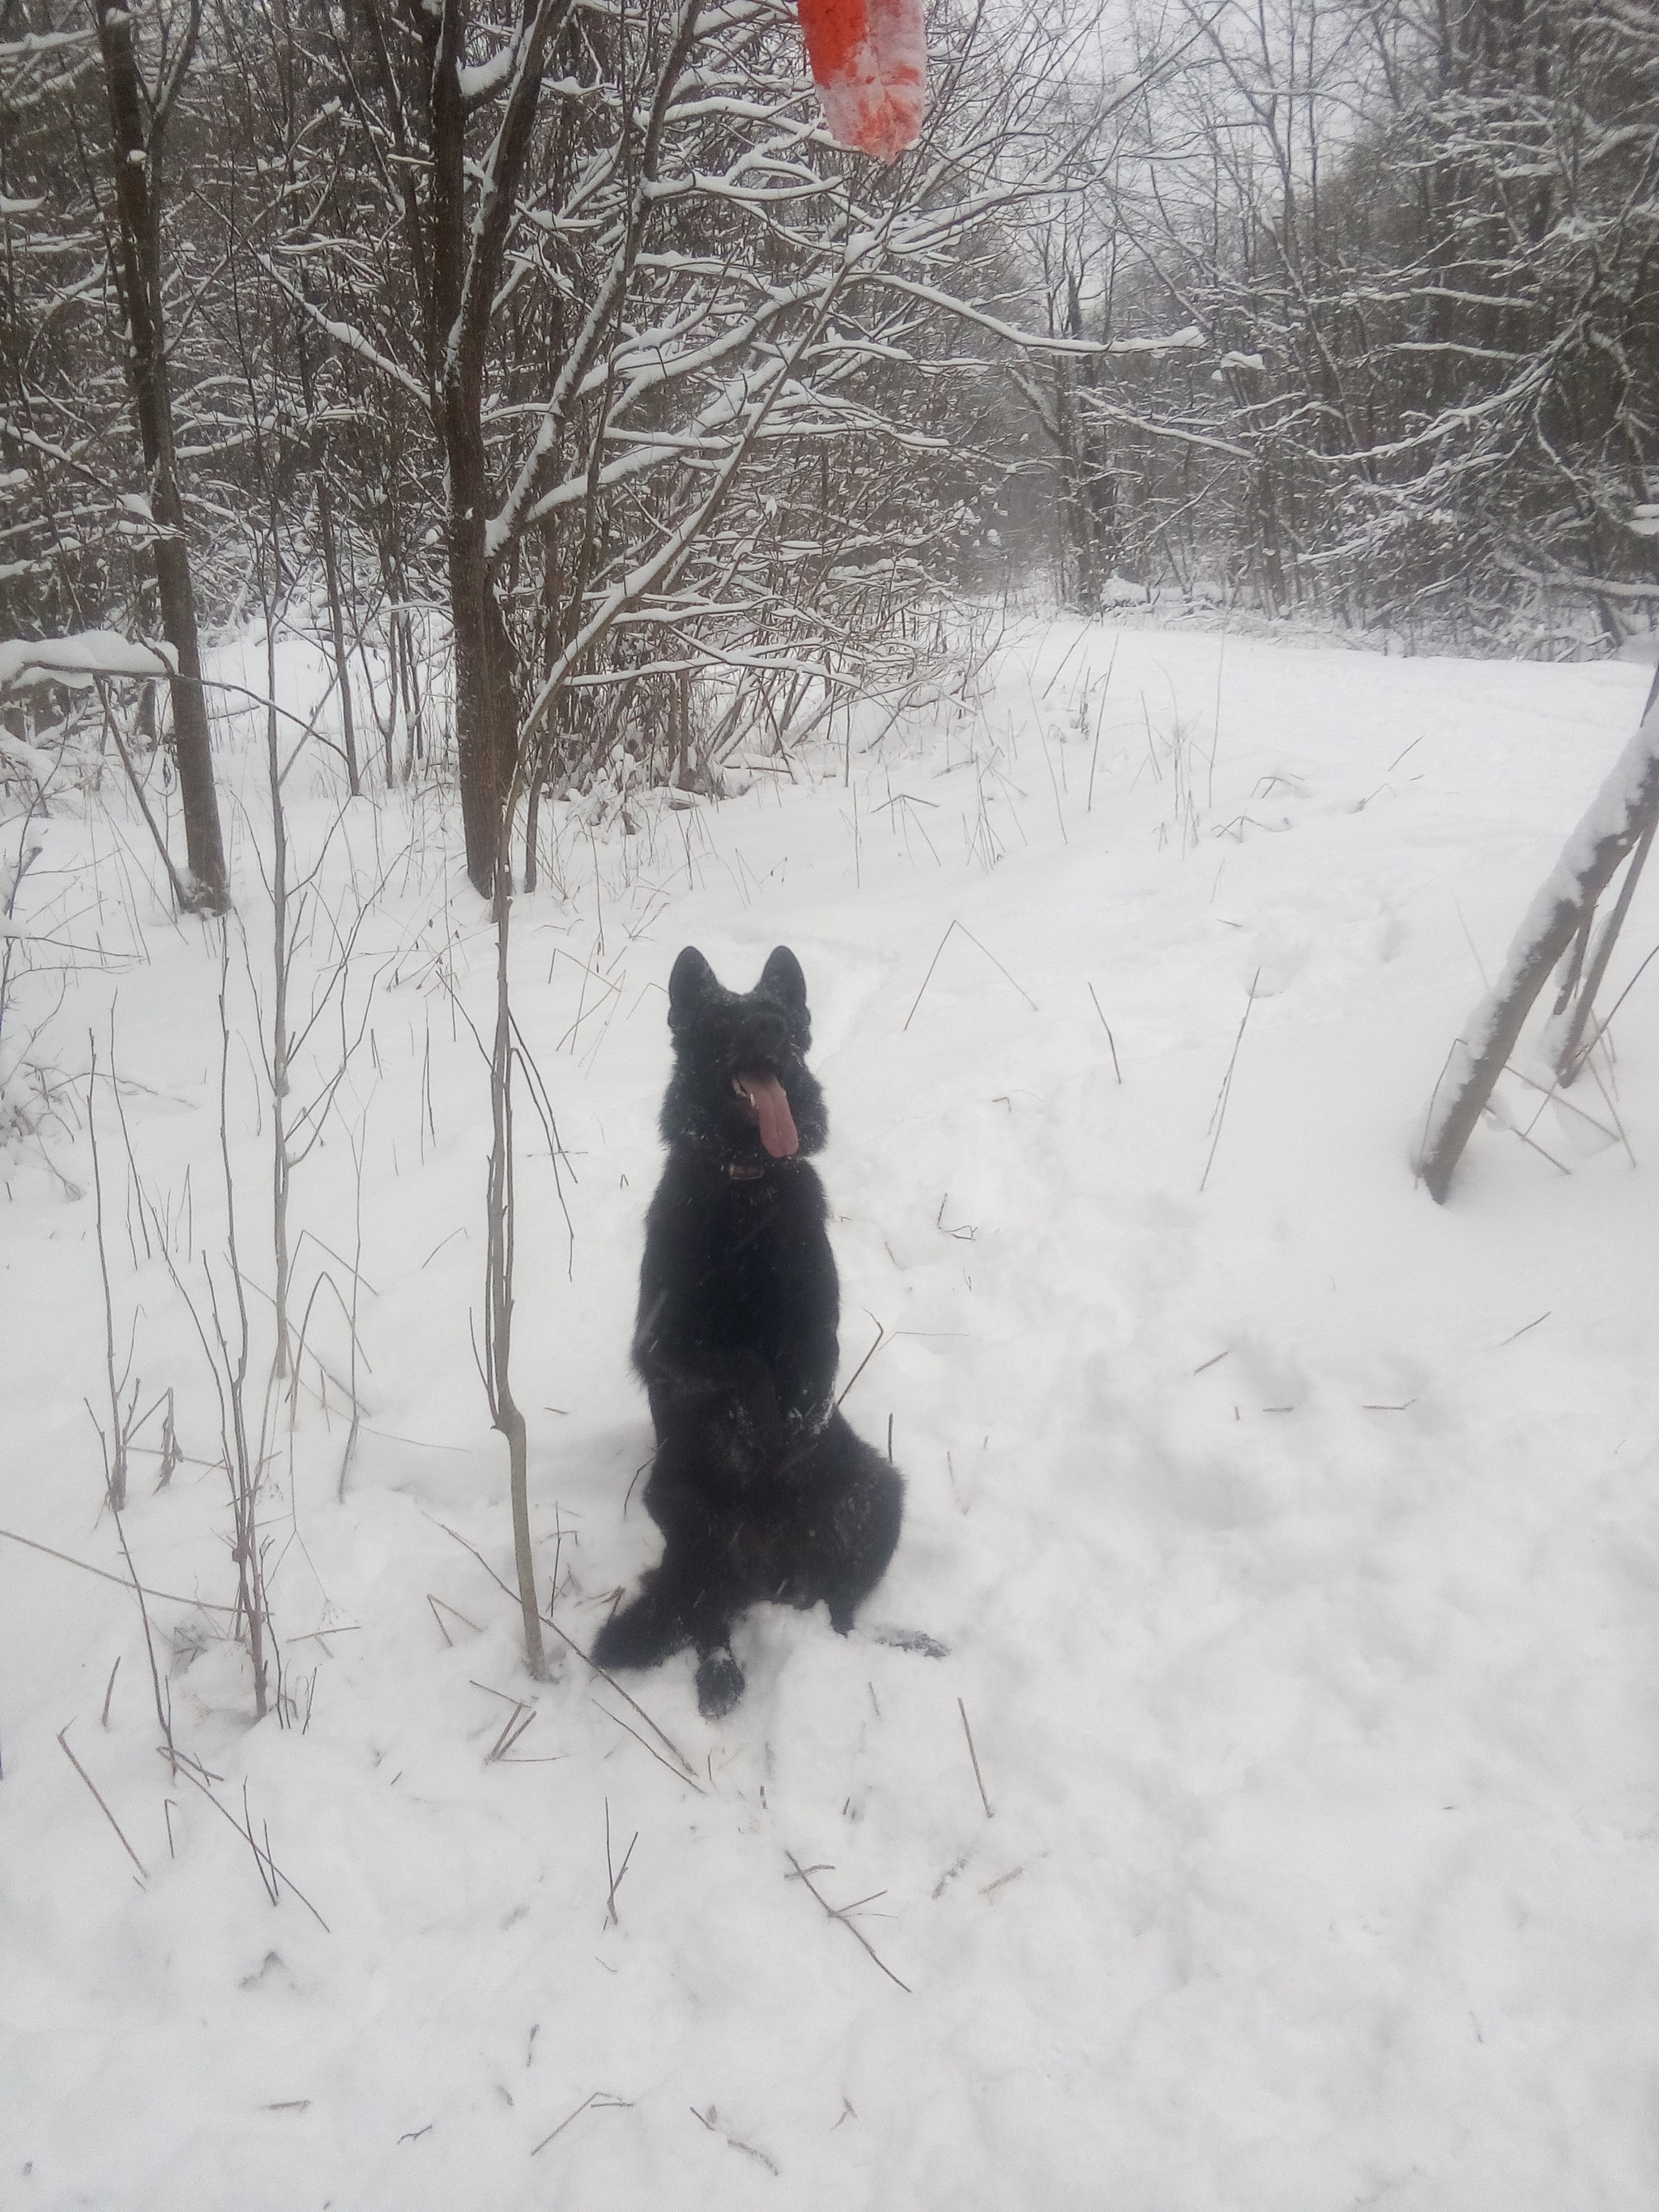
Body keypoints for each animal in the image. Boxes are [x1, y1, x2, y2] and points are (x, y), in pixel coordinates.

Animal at [592, 942, 902, 1716]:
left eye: (778, 1013)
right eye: (725, 1019)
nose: (772, 1029)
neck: (747, 1186)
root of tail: (771, 1572)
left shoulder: (820, 1323)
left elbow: (810, 1364)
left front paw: (797, 1423)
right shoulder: (662, 1345)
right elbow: (745, 1367)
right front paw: (771, 1423)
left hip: (876, 1491)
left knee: (843, 1611)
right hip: (684, 1505)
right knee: (706, 1613)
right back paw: (719, 1676)